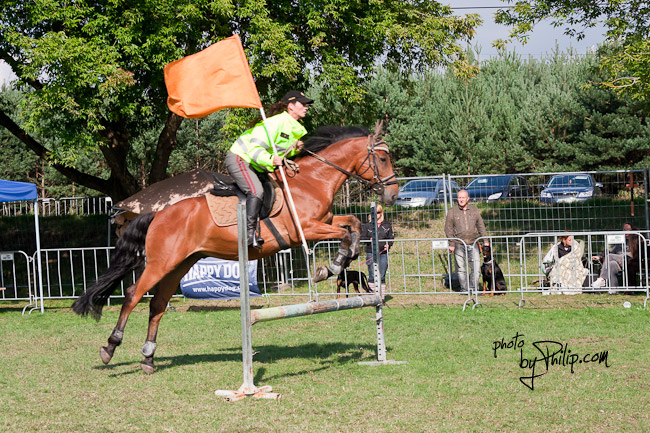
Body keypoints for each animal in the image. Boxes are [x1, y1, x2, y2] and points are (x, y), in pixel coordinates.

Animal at [72, 124, 399, 374]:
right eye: (383, 157)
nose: (393, 194)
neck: (311, 181)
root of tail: (157, 214)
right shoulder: (305, 230)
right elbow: (345, 233)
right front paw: (329, 267)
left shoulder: (326, 221)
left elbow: (352, 224)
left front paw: (342, 261)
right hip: (160, 263)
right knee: (132, 296)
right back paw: (110, 347)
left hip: (179, 264)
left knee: (157, 305)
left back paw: (149, 358)